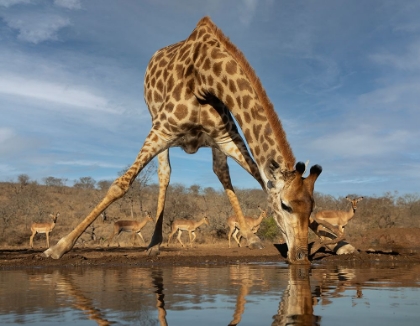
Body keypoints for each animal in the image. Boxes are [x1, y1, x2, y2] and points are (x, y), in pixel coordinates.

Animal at [43, 16, 322, 264]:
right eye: (285, 206)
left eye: (312, 207)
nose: (300, 257)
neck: (206, 78)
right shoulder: (163, 129)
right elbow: (120, 185)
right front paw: (58, 247)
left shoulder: (227, 138)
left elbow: (258, 176)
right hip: (156, 124)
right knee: (164, 174)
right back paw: (154, 244)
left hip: (214, 144)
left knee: (221, 173)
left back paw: (249, 238)